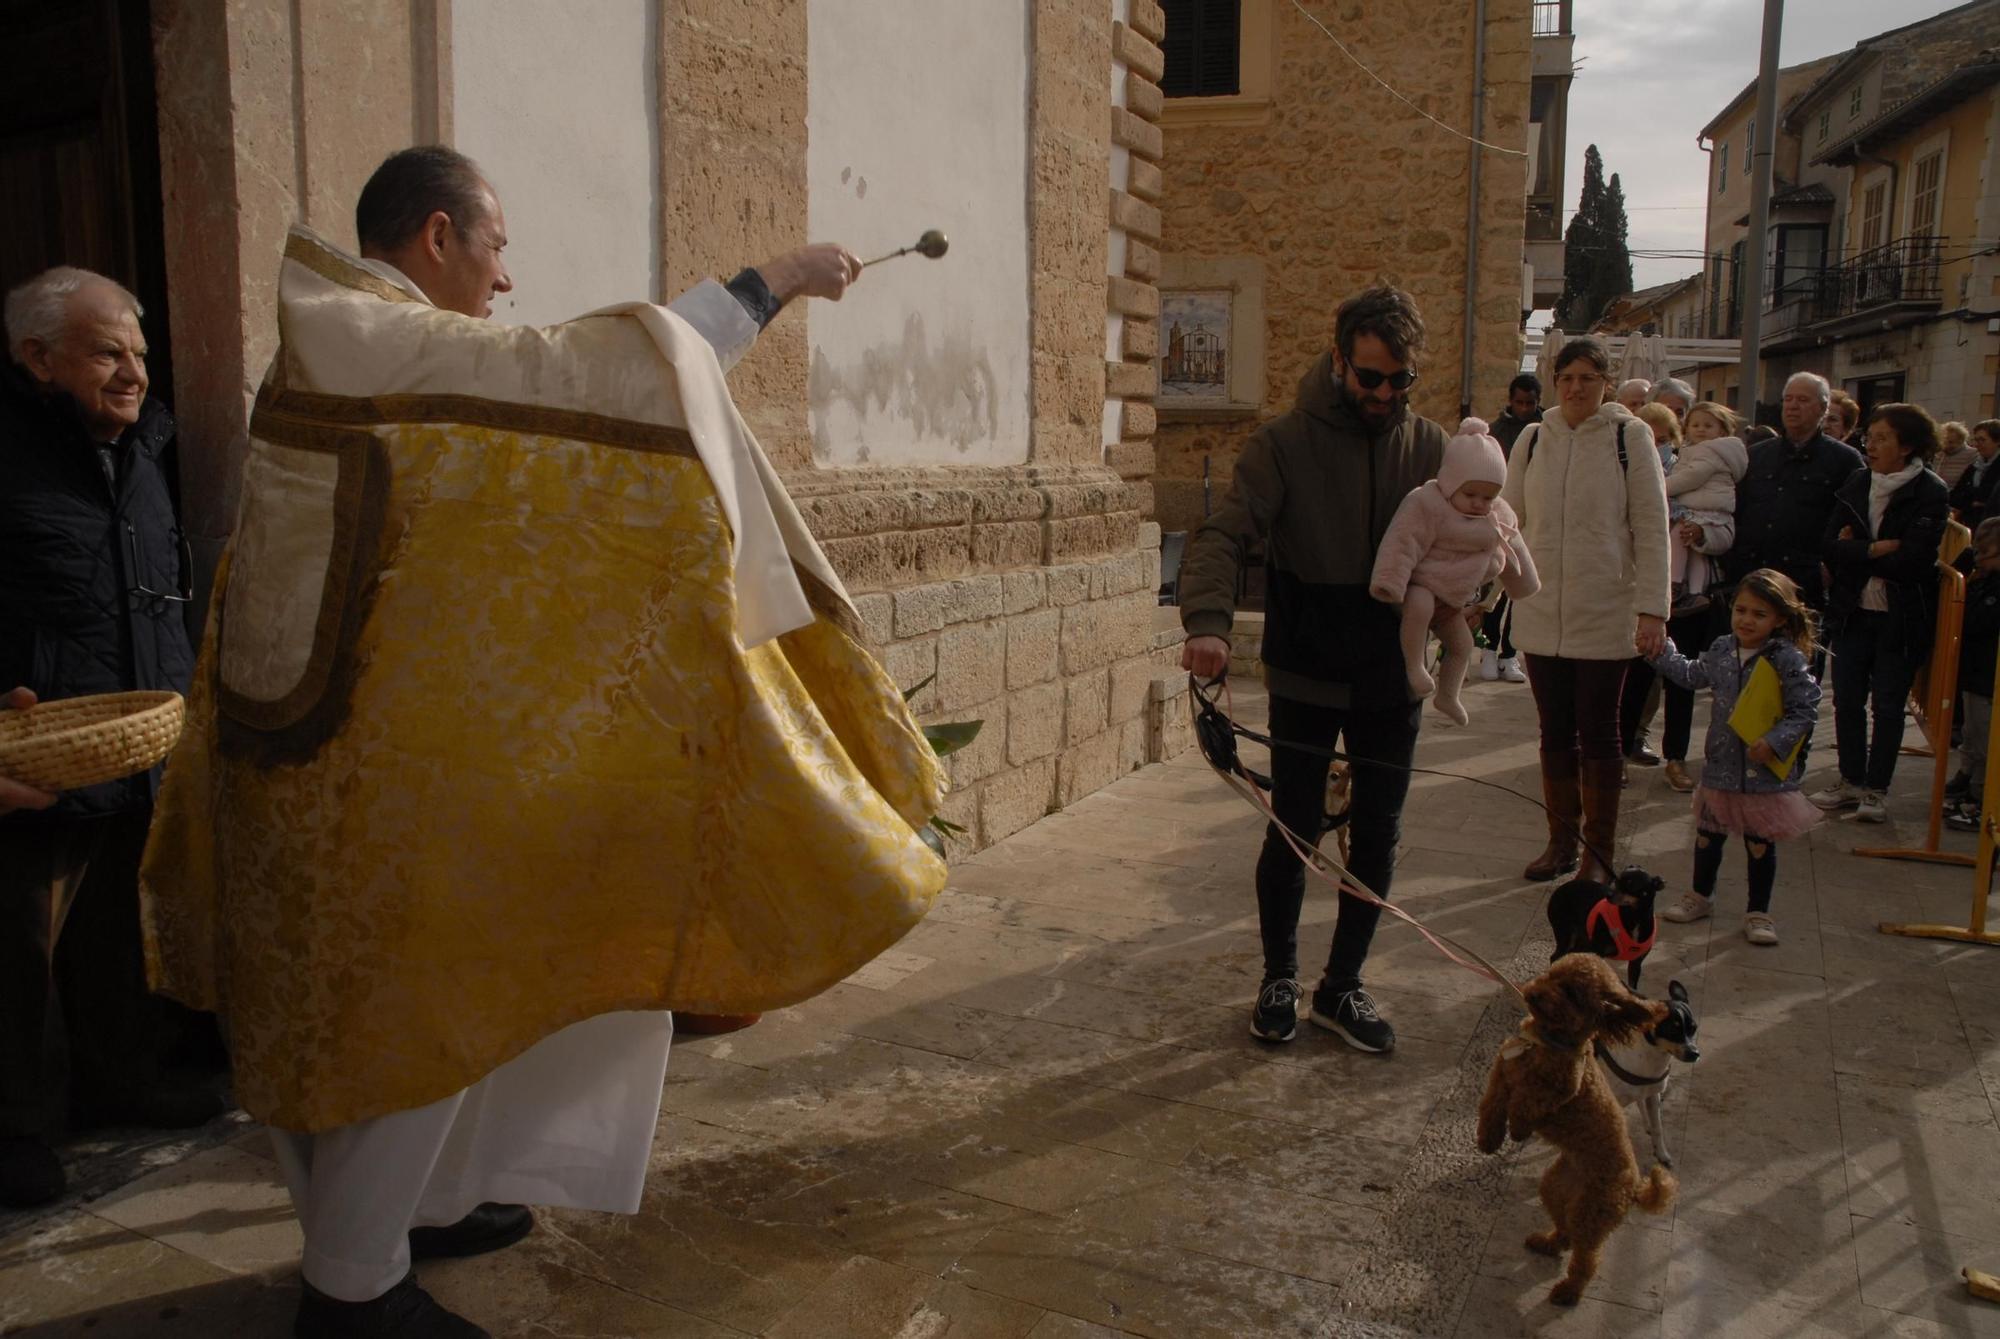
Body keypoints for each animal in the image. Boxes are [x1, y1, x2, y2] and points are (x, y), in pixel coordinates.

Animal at [1480, 955, 1680, 1311]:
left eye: (1572, 992)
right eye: (1552, 974)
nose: (1535, 993)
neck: (1545, 1042)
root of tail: (1635, 1189)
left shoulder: (1560, 1089)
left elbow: (1527, 1102)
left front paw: (1518, 1128)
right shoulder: (1502, 1075)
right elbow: (1492, 1107)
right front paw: (1488, 1139)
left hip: (1592, 1213)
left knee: (1586, 1258)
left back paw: (1568, 1292)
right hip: (1555, 1189)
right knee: (1565, 1234)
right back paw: (1545, 1242)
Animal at [1544, 871, 1672, 995]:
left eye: (1630, 885)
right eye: (1617, 882)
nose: (1609, 895)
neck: (1634, 917)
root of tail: (1559, 889)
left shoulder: (1636, 963)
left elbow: (1632, 988)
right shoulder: (1598, 953)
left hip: (1583, 942)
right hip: (1566, 936)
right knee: (1555, 957)